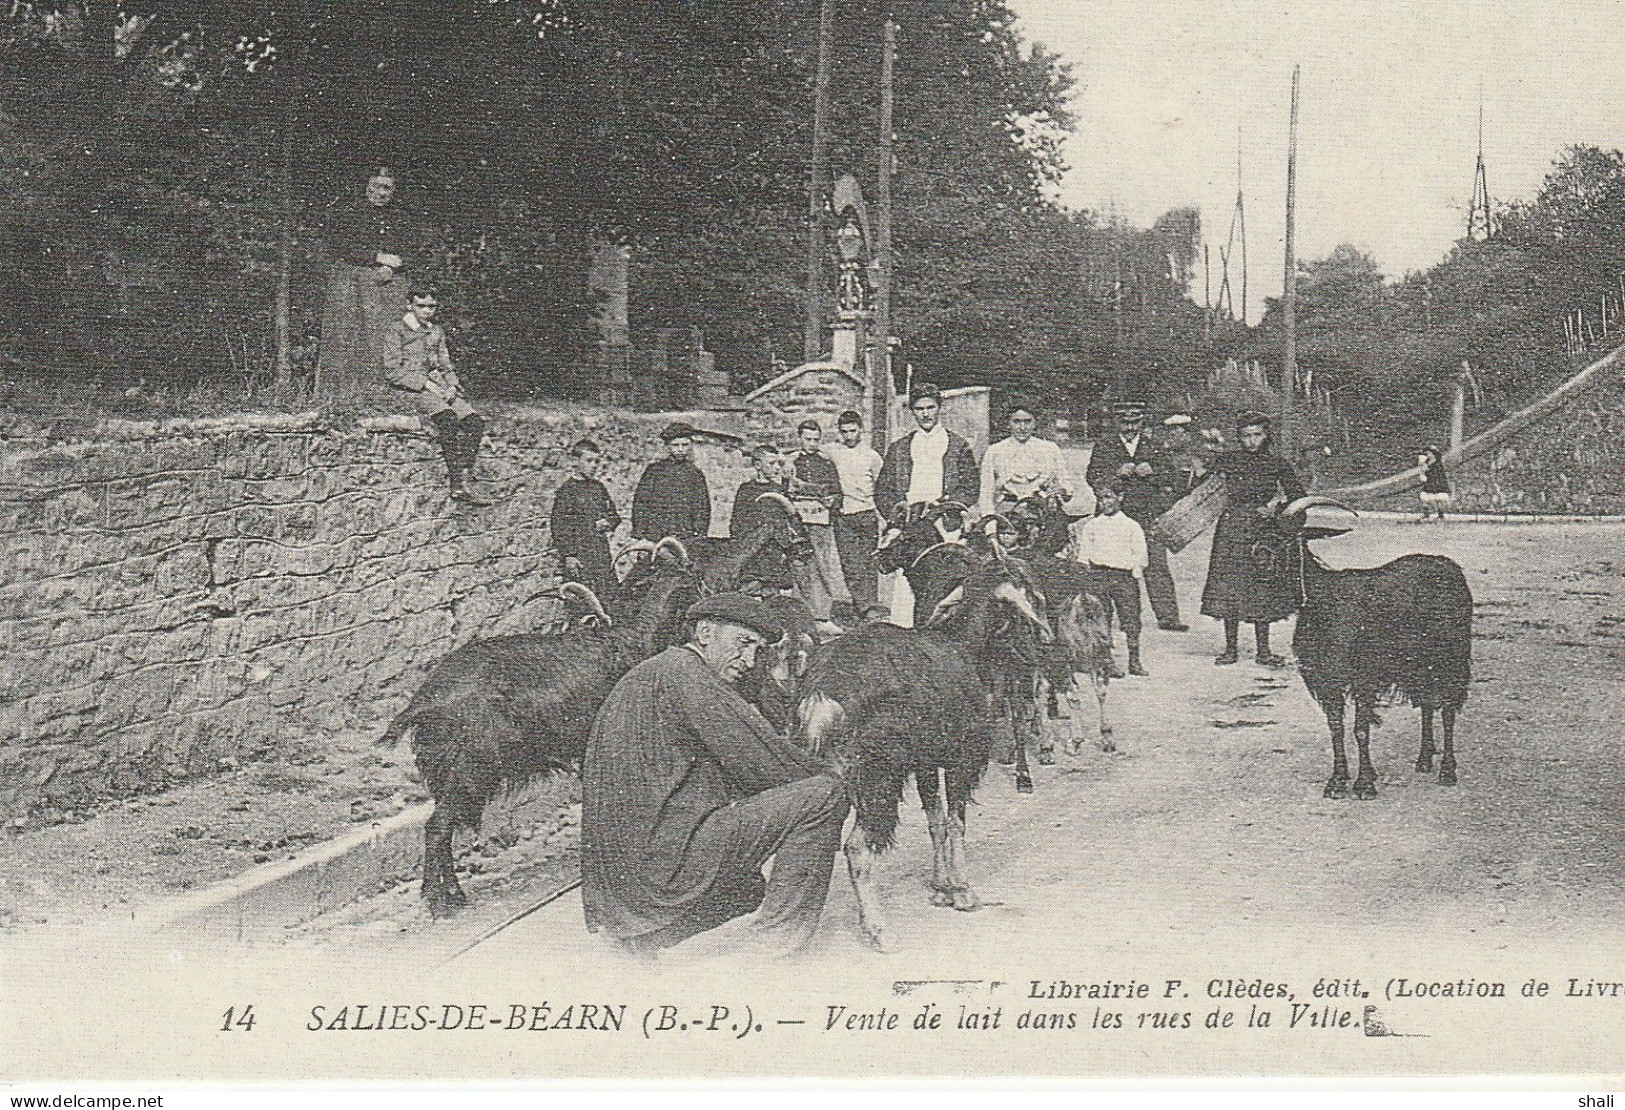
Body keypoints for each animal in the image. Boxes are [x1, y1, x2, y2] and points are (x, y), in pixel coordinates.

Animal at [386, 568, 705, 916]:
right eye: (695, 587)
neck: (633, 640)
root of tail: (423, 704)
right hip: (468, 772)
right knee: (438, 828)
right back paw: (442, 901)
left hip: (448, 776)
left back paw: (450, 895)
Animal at [796, 568, 1053, 949]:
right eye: (1031, 598)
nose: (1044, 645)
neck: (964, 646)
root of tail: (824, 693)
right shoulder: (961, 757)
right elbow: (956, 822)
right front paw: (962, 891)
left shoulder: (925, 763)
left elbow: (936, 821)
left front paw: (940, 887)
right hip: (879, 779)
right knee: (856, 846)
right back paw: (878, 929)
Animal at [1280, 500, 1475, 802]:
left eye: (1287, 539)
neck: (1323, 602)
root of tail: (1446, 564)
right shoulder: (1328, 681)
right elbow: (1336, 728)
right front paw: (1337, 781)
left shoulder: (1364, 677)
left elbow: (1360, 730)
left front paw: (1364, 784)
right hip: (1419, 664)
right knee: (1427, 704)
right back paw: (1424, 759)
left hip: (1450, 658)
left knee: (1447, 709)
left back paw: (1447, 771)